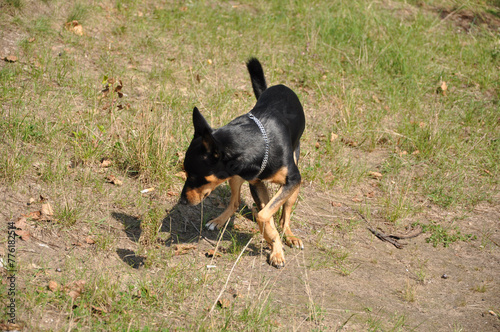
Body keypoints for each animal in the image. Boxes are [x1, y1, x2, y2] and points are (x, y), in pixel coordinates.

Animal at [180, 59, 304, 268]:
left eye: (196, 177)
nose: (182, 201)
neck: (260, 143)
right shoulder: (255, 184)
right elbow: (265, 216)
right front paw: (274, 245)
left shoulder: (292, 180)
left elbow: (265, 215)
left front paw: (275, 246)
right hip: (235, 177)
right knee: (236, 202)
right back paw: (219, 220)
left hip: (295, 180)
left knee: (284, 216)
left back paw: (290, 236)